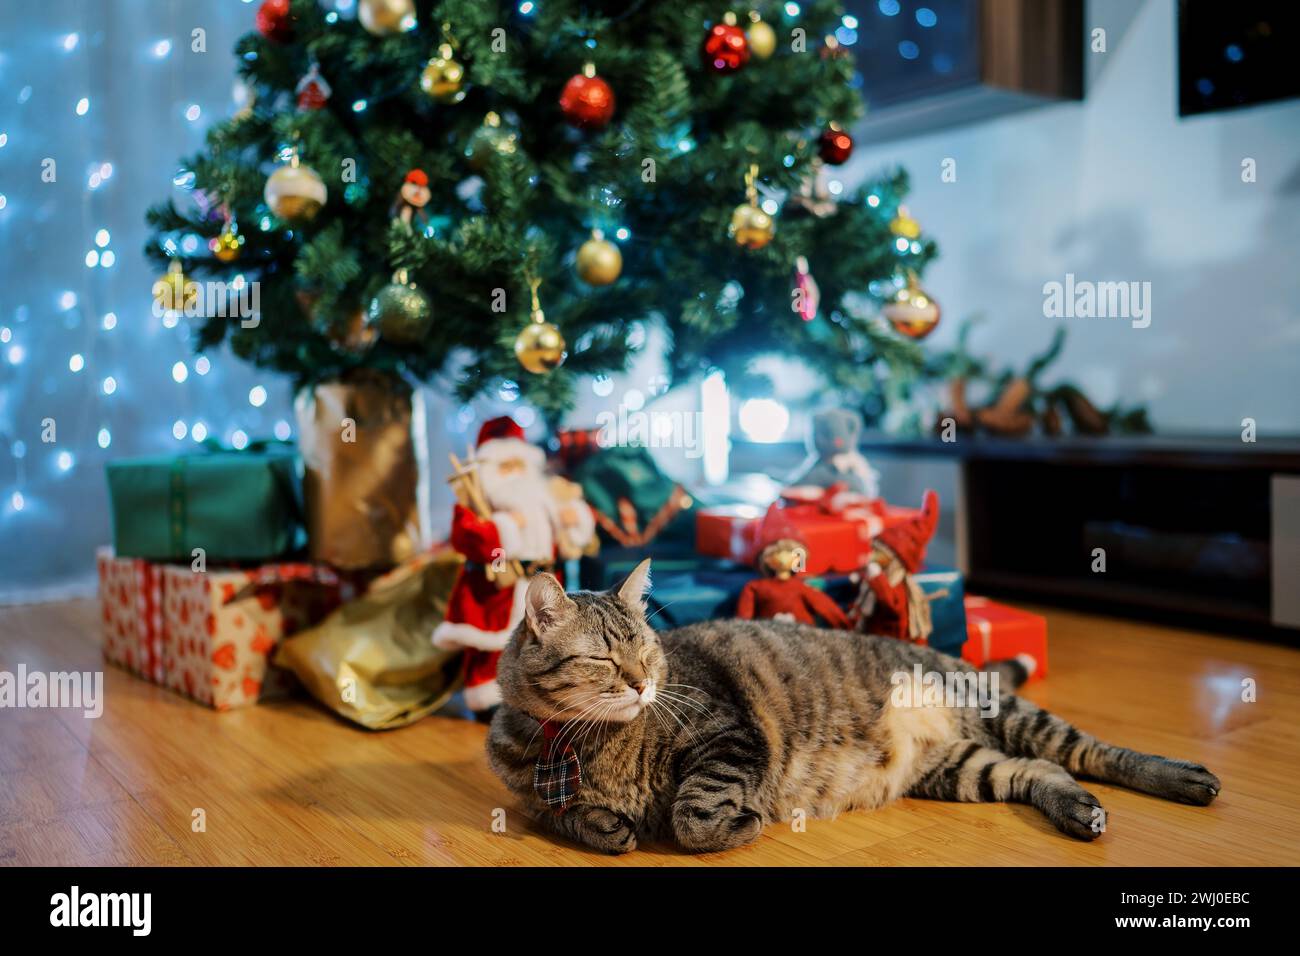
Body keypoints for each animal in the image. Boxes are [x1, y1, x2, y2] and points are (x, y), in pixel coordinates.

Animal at [486, 556, 1216, 858]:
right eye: (606, 660)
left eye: (649, 650)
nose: (643, 685)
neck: (579, 744)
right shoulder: (532, 795)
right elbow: (562, 815)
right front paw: (605, 827)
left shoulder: (729, 733)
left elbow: (696, 812)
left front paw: (736, 826)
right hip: (959, 768)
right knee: (1043, 773)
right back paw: (1079, 813)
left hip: (1007, 716)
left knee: (1088, 752)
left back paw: (1183, 778)